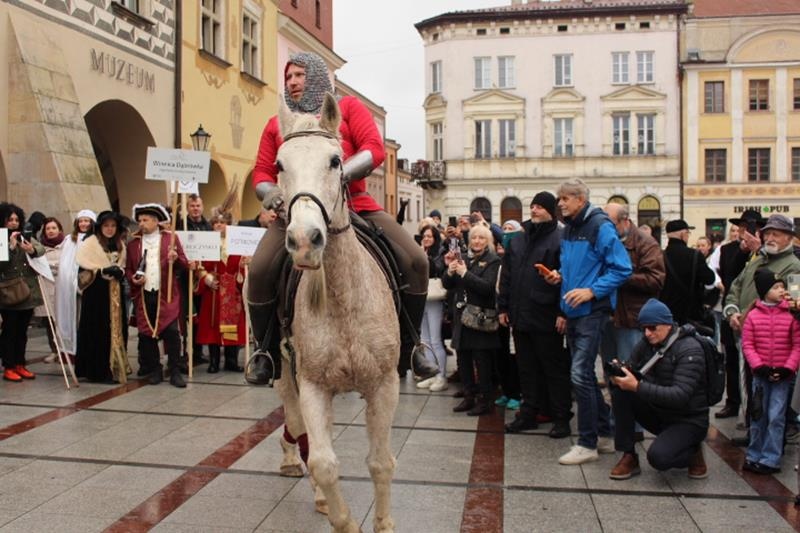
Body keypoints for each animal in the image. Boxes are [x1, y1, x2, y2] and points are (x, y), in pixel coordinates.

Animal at [270, 92, 400, 533]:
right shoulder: (312, 385)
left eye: (335, 160)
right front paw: (343, 517)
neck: (344, 300)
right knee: (300, 433)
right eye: (280, 165)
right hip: (285, 372)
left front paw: (383, 524)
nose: (304, 240)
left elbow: (380, 463)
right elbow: (324, 464)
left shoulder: (384, 384)